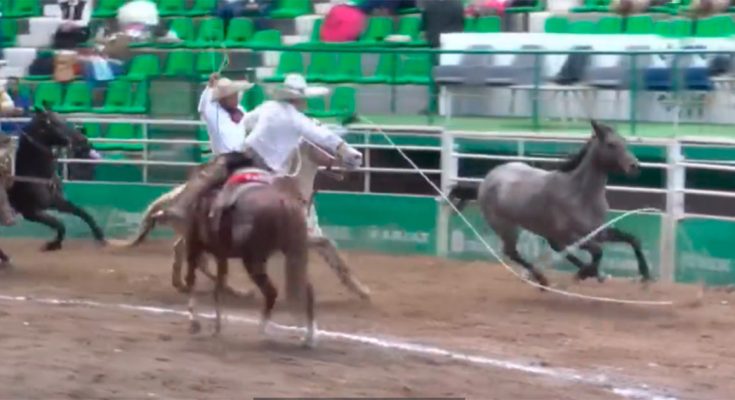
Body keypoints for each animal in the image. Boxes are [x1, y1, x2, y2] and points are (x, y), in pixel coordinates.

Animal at [8, 106, 106, 253]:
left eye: (64, 120)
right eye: (55, 124)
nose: (84, 140)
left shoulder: (56, 202)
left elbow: (82, 212)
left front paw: (100, 236)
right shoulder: (31, 212)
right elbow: (59, 224)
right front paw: (52, 244)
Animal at [184, 166, 316, 346]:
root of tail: (283, 202)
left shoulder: (197, 247)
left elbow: (195, 282)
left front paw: (195, 323)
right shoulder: (219, 255)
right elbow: (216, 287)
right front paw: (215, 327)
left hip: (252, 260)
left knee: (271, 292)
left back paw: (265, 330)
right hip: (288, 255)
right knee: (306, 291)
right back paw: (307, 337)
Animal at [454, 120, 648, 286]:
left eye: (624, 142)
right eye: (610, 144)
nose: (635, 166)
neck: (579, 194)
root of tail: (486, 180)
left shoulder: (597, 230)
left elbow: (633, 239)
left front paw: (645, 275)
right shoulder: (570, 235)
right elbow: (598, 251)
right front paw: (583, 274)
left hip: (542, 230)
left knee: (555, 248)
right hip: (506, 227)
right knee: (513, 252)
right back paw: (542, 280)